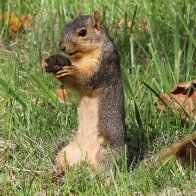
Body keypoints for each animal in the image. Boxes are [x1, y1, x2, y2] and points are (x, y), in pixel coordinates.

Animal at [42, 10, 126, 178]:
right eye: (65, 26)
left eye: (82, 32)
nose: (61, 47)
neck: (82, 57)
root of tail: (87, 157)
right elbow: (73, 84)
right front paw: (46, 61)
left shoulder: (104, 64)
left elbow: (89, 79)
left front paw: (73, 71)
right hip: (67, 153)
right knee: (64, 162)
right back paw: (58, 172)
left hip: (106, 154)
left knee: (107, 172)